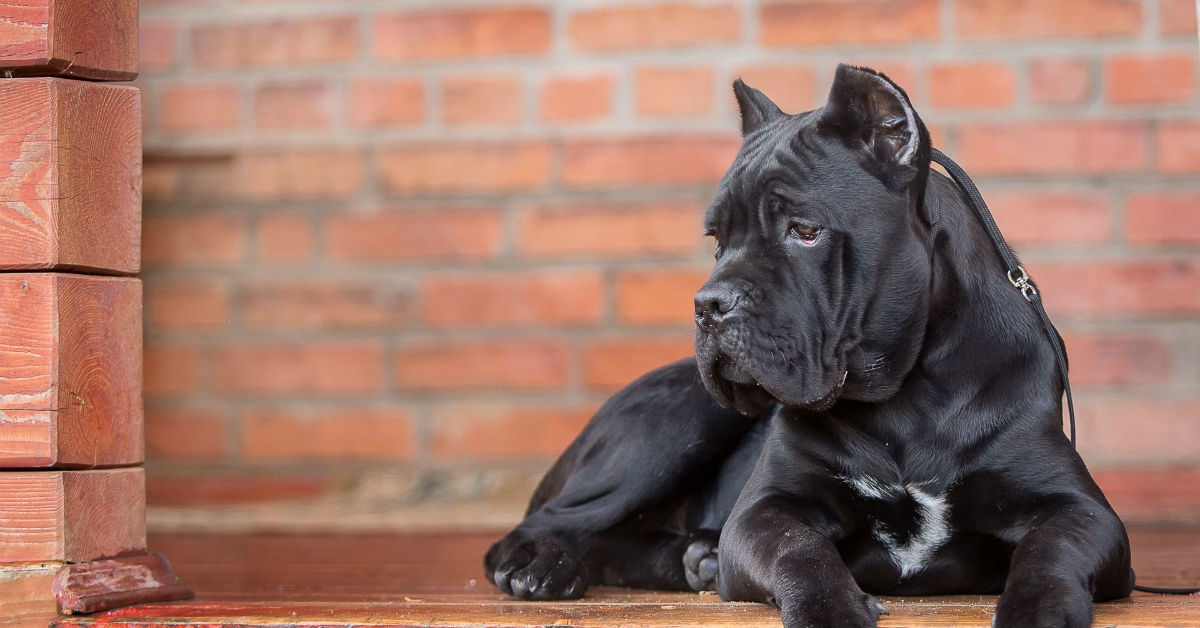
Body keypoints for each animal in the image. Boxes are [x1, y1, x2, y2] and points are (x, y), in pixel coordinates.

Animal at [482, 65, 1128, 628]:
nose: (709, 304)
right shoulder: (766, 510)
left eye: (806, 231)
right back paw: (542, 566)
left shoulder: (1082, 511)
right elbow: (800, 550)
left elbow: (1050, 553)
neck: (907, 395)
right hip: (676, 418)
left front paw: (1038, 610)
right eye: (718, 240)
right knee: (550, 522)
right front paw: (830, 610)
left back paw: (695, 557)